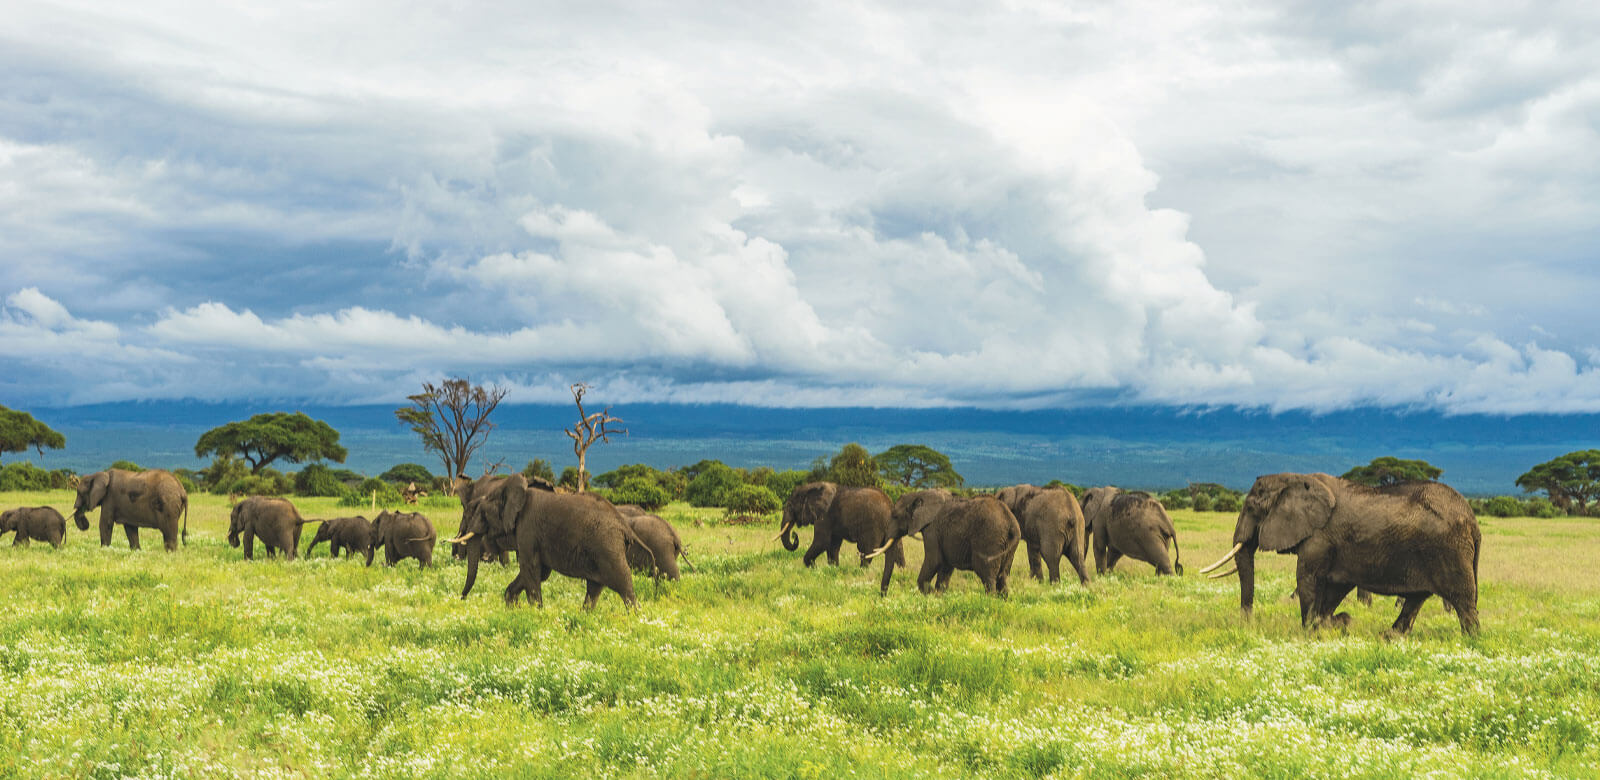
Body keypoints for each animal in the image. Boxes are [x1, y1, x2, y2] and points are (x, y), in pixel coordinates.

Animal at [448, 476, 652, 610]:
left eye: (481, 513)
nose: (462, 598)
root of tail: (625, 526)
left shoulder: (527, 528)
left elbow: (531, 568)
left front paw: (535, 612)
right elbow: (539, 572)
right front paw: (513, 607)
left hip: (608, 547)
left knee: (623, 584)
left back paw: (636, 617)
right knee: (594, 587)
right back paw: (584, 616)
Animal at [777, 482, 908, 591]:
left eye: (790, 506)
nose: (795, 535)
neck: (811, 486)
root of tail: (890, 505)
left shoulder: (824, 516)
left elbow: (822, 542)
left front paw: (814, 568)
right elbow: (833, 545)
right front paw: (832, 569)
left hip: (873, 526)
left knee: (867, 551)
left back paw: (861, 573)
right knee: (898, 552)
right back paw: (902, 573)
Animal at [870, 489, 1017, 594]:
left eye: (895, 516)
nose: (883, 596)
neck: (920, 493)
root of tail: (1011, 522)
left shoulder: (932, 530)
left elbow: (934, 560)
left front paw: (932, 593)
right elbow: (945, 567)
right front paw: (940, 595)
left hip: (989, 539)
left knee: (987, 576)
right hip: (1008, 546)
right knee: (1002, 578)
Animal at [1203, 473, 1478, 636]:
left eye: (1252, 508)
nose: (1247, 624)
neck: (1293, 478)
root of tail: (1472, 518)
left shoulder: (1320, 538)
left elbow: (1307, 580)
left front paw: (1311, 632)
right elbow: (1335, 587)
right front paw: (1335, 623)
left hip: (1449, 549)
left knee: (1463, 600)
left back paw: (1470, 640)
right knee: (1417, 599)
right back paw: (1389, 636)